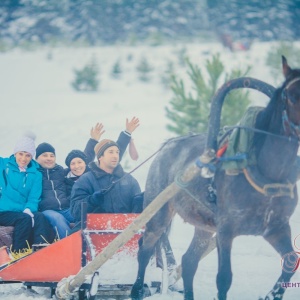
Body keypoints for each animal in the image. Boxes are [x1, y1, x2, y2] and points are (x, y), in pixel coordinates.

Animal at [131, 56, 300, 300]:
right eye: (294, 96)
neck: (266, 173)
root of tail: (167, 145)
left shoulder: (276, 228)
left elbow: (290, 261)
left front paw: (271, 295)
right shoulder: (226, 230)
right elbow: (224, 278)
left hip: (204, 226)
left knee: (189, 261)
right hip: (158, 211)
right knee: (145, 248)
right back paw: (136, 290)